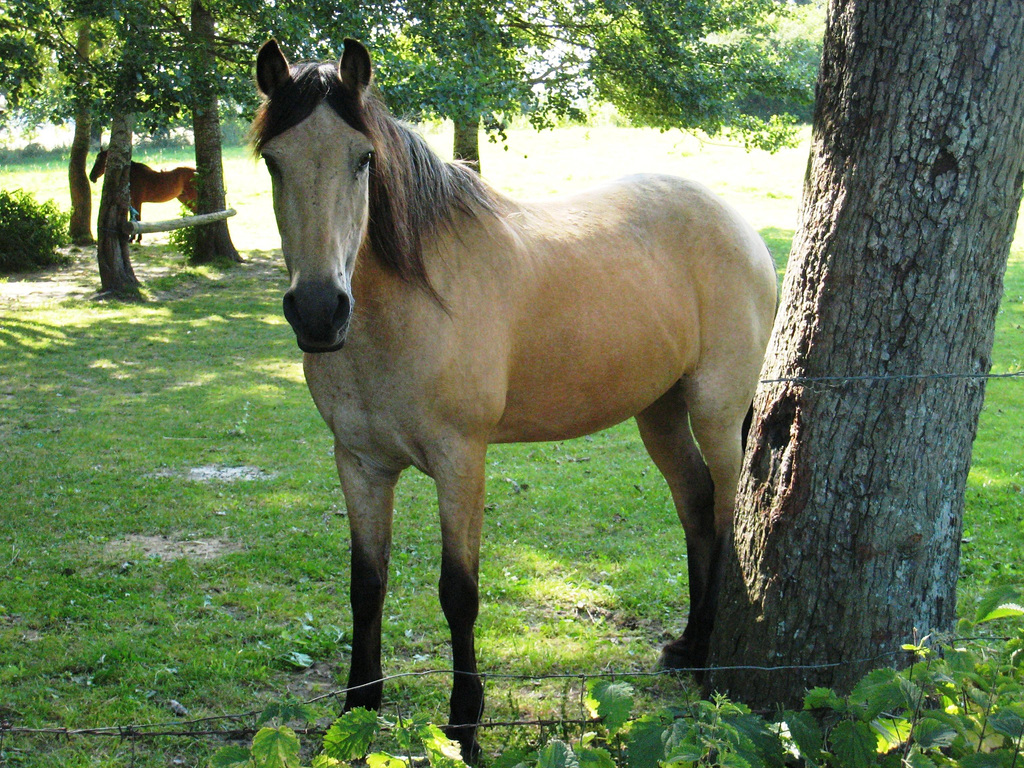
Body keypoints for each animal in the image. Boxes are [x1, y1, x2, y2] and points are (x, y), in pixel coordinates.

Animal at [249, 37, 774, 765]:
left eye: (363, 160)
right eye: (274, 161)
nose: (320, 311)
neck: (411, 305)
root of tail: (739, 225)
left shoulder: (460, 460)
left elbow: (458, 593)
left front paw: (464, 727)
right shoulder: (359, 463)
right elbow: (366, 585)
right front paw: (357, 711)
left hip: (716, 409)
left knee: (724, 510)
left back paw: (705, 660)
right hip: (660, 411)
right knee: (696, 504)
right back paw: (687, 646)